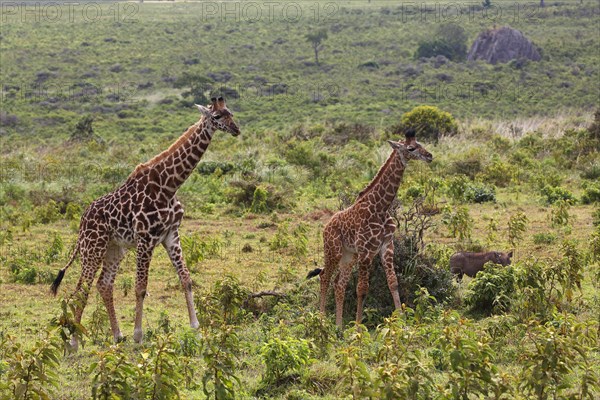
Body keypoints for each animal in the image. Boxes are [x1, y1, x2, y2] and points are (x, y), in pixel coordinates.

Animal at [51, 96, 239, 346]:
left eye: (231, 113)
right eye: (217, 116)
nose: (236, 129)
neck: (169, 186)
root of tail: (82, 221)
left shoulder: (171, 235)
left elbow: (186, 279)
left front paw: (196, 329)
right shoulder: (146, 238)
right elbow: (140, 288)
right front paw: (138, 335)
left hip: (114, 248)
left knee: (104, 284)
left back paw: (117, 335)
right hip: (93, 247)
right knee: (82, 288)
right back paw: (73, 343)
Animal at [310, 130, 432, 326]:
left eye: (420, 143)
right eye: (411, 148)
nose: (429, 156)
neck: (381, 207)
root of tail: (326, 226)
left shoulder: (386, 246)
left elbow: (393, 282)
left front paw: (402, 324)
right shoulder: (366, 252)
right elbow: (362, 289)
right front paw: (358, 329)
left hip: (349, 256)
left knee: (339, 284)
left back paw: (339, 326)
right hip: (333, 250)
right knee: (324, 277)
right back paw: (321, 321)